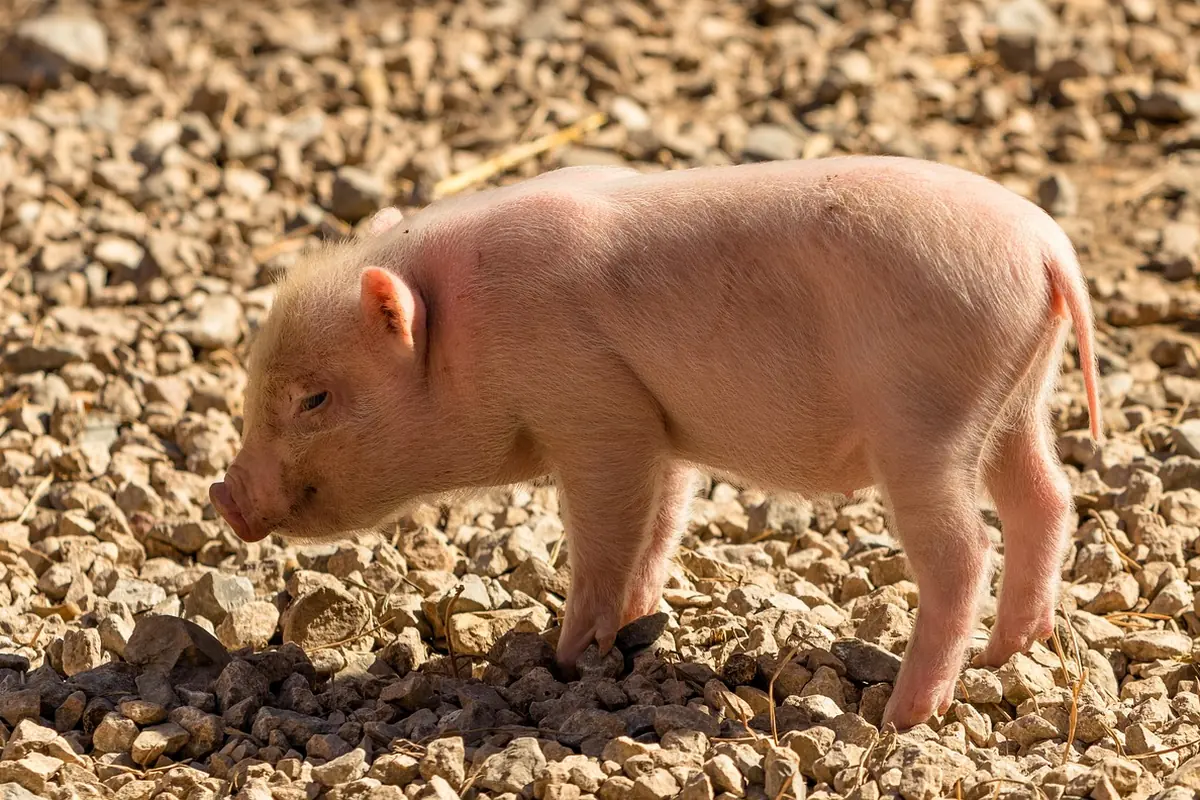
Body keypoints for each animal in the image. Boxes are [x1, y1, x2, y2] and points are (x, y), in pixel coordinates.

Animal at [209, 155, 1102, 730]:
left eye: (315, 398)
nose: (224, 496)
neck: (469, 330)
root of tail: (1048, 249)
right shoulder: (656, 425)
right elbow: (662, 520)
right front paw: (635, 625)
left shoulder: (596, 413)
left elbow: (606, 535)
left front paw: (564, 657)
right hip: (1017, 398)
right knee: (1046, 498)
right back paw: (1008, 654)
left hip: (925, 418)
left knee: (963, 550)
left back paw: (906, 714)